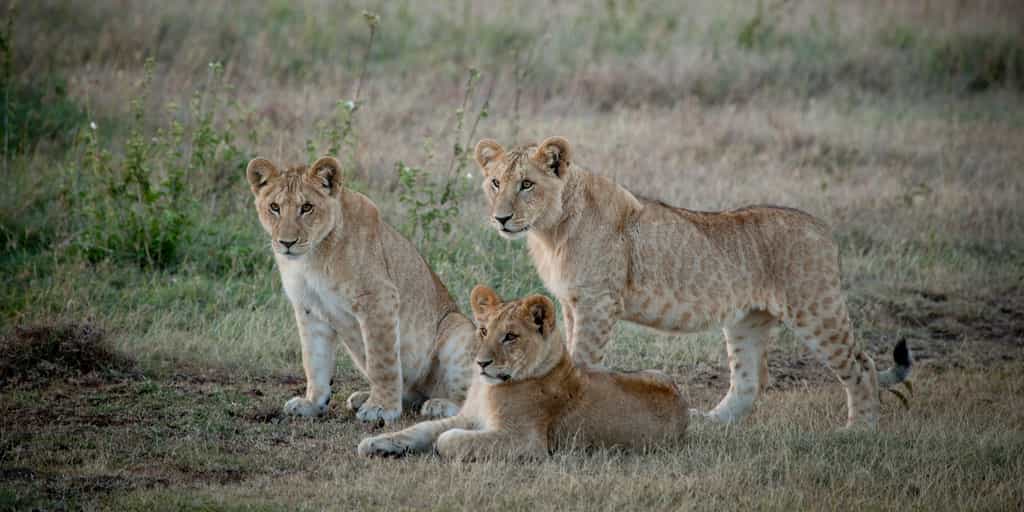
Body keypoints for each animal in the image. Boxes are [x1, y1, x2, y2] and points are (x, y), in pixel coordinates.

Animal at [246, 156, 476, 423]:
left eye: (307, 207)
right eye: (274, 207)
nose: (287, 243)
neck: (311, 258)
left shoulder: (379, 299)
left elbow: (382, 362)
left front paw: (381, 408)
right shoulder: (308, 308)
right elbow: (314, 360)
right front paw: (312, 403)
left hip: (458, 328)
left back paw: (438, 405)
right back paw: (362, 397)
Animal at [357, 285, 689, 459]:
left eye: (510, 336)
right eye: (483, 331)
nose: (481, 363)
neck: (488, 388)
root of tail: (683, 402)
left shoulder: (525, 441)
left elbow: (449, 439)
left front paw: (441, 444)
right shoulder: (468, 416)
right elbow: (421, 429)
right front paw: (376, 443)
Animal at [471, 137, 913, 429]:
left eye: (527, 184)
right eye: (495, 183)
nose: (501, 218)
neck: (551, 230)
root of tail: (823, 228)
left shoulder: (597, 302)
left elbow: (581, 361)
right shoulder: (570, 302)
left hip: (816, 311)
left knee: (862, 365)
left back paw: (860, 429)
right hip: (747, 321)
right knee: (749, 382)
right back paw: (710, 422)